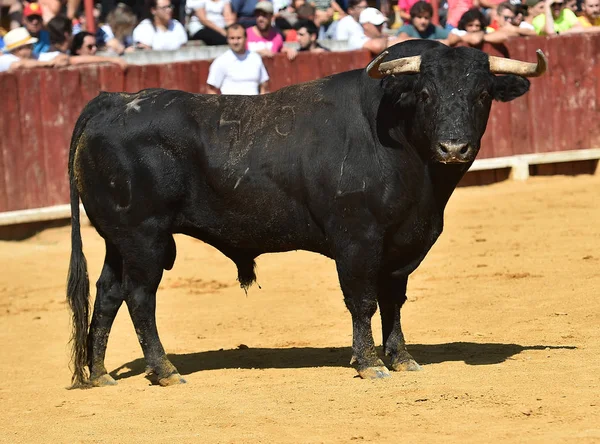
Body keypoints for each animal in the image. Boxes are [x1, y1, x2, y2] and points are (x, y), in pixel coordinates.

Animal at [67, 41, 548, 388]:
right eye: (426, 94)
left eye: (483, 94)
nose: (453, 147)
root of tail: (112, 100)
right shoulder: (357, 240)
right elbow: (363, 300)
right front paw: (369, 363)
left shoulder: (403, 244)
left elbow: (393, 301)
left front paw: (402, 359)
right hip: (144, 237)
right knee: (139, 296)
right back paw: (164, 371)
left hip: (118, 240)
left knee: (108, 293)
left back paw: (101, 374)